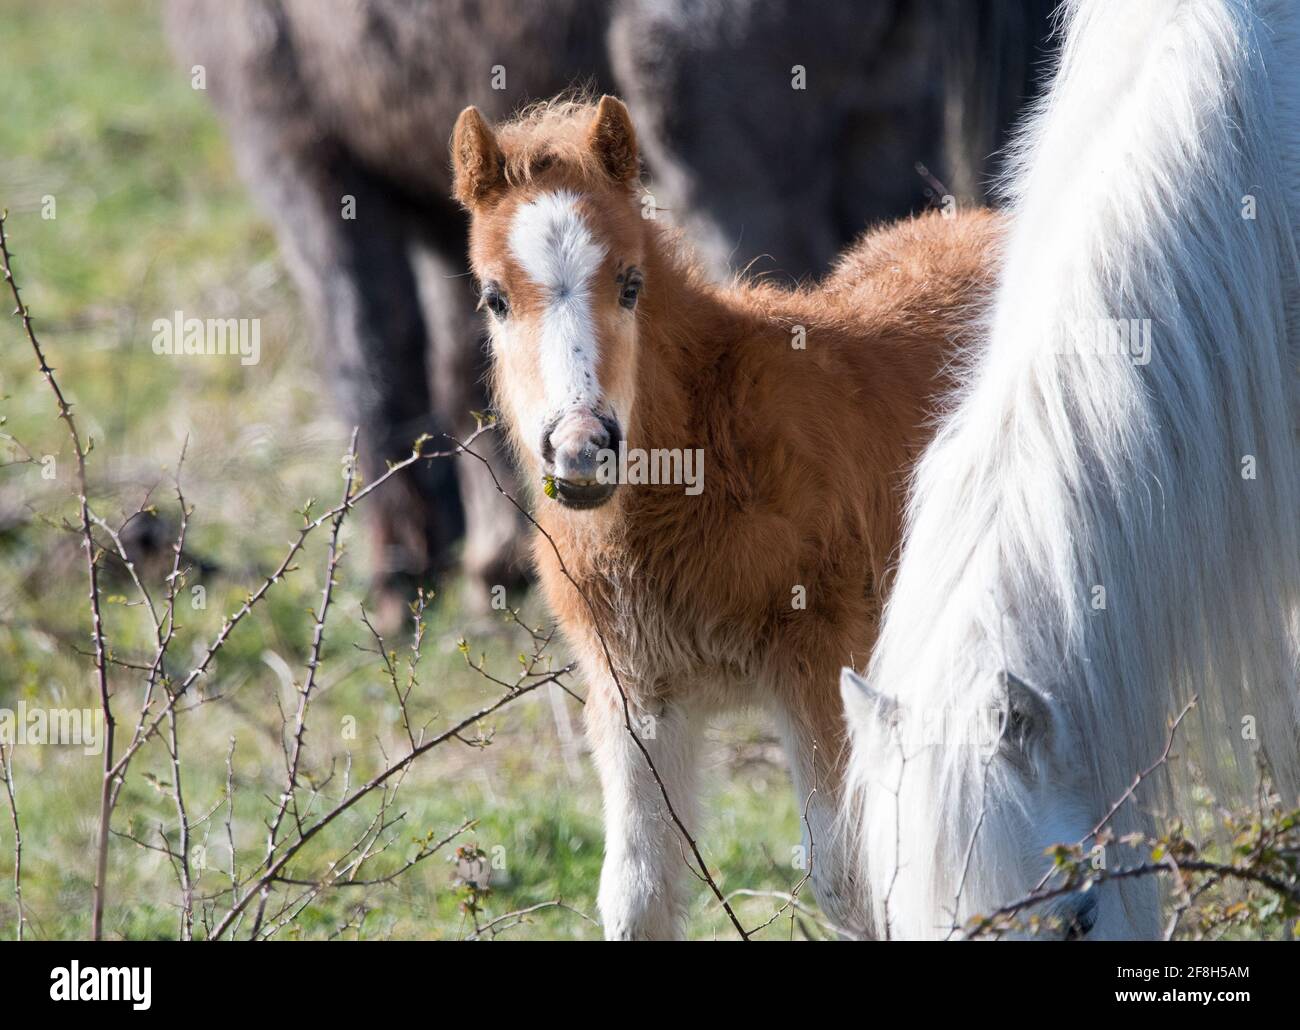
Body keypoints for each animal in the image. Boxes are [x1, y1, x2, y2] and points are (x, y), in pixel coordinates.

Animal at [447, 96, 993, 941]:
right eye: (494, 297)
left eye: (631, 283)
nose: (583, 449)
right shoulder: (636, 693)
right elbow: (636, 894)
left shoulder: (821, 664)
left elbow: (850, 878)